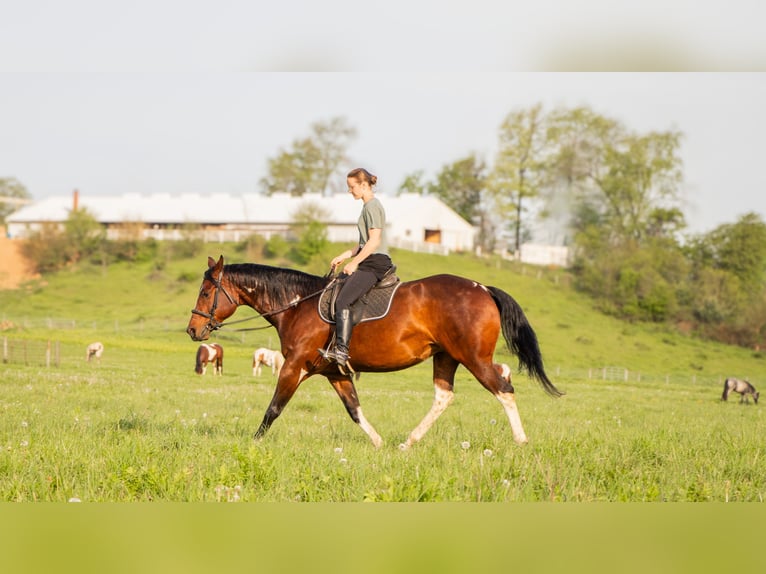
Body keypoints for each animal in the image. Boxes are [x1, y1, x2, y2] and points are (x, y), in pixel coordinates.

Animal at [186, 256, 564, 450]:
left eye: (205, 292)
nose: (192, 330)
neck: (296, 306)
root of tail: (482, 288)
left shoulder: (293, 367)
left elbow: (273, 409)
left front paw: (252, 444)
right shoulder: (333, 372)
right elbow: (354, 409)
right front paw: (379, 444)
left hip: (474, 358)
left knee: (504, 390)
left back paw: (521, 441)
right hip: (446, 357)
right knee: (444, 397)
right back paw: (408, 442)